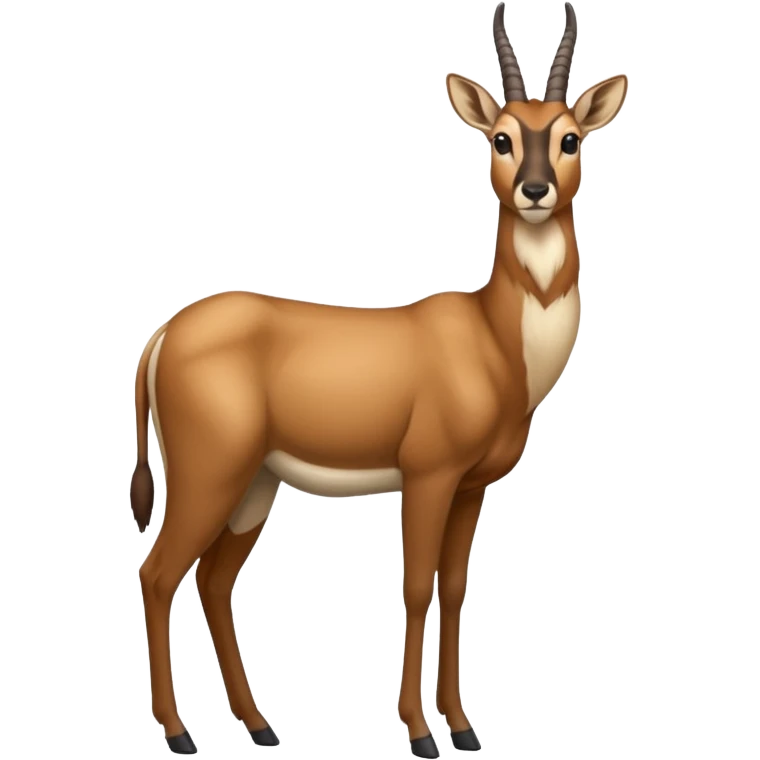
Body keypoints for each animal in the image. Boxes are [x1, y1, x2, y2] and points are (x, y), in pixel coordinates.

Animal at [129, 2, 628, 756]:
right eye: (503, 138)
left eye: (570, 138)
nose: (536, 190)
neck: (493, 341)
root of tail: (161, 337)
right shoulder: (426, 474)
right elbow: (415, 587)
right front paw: (421, 732)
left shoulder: (470, 487)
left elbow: (453, 590)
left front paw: (464, 727)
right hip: (209, 474)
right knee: (158, 574)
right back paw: (181, 733)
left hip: (255, 484)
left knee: (214, 582)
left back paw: (260, 726)